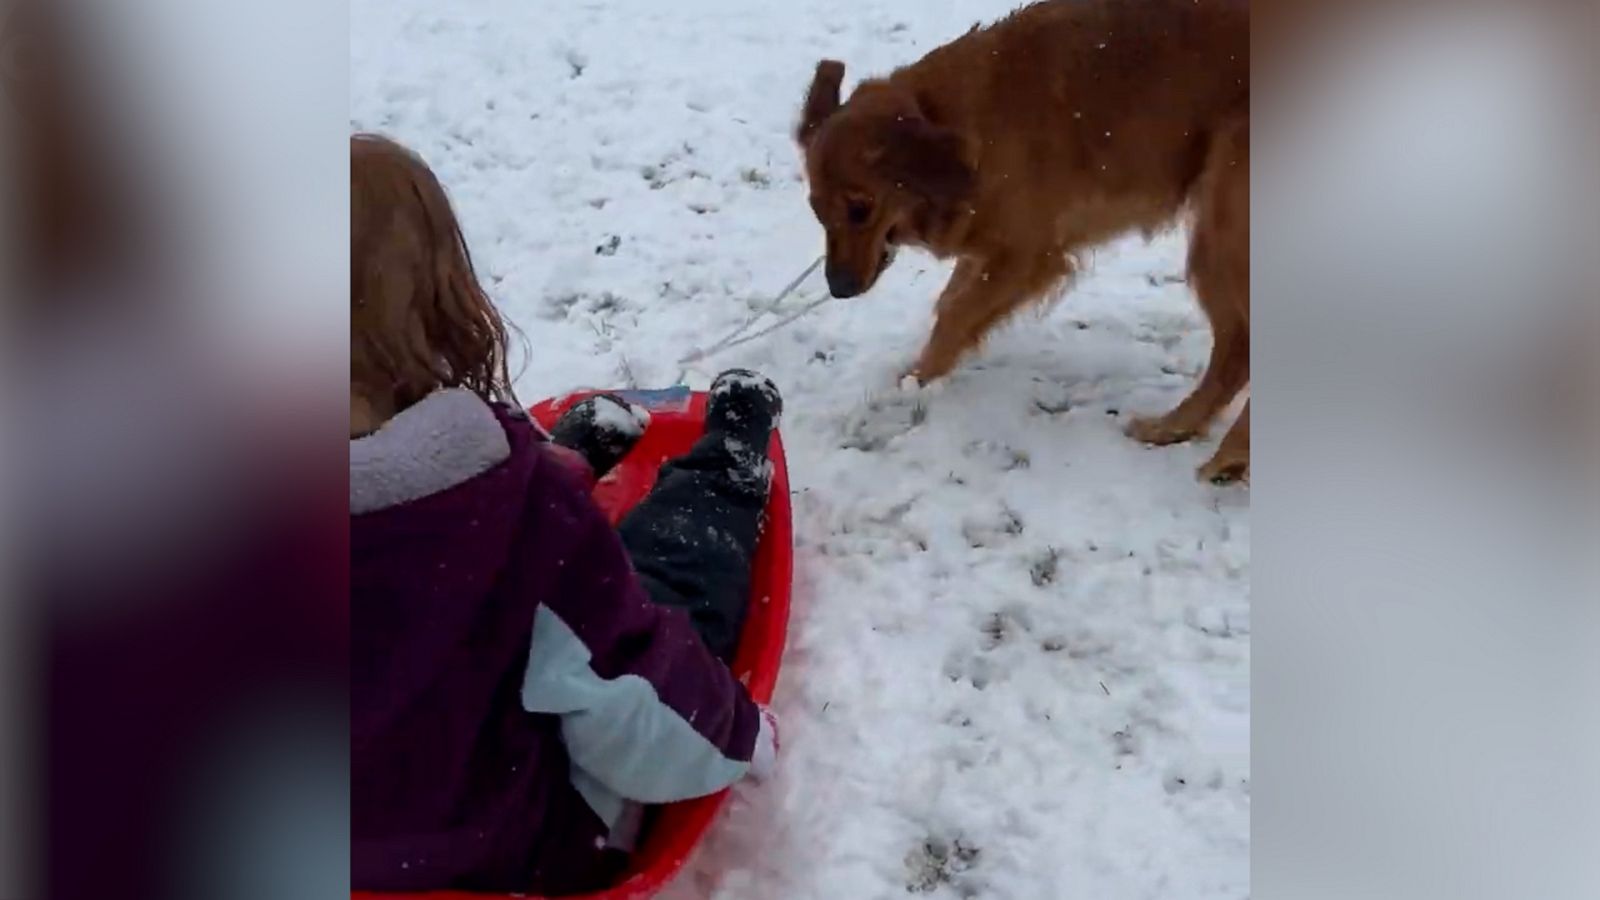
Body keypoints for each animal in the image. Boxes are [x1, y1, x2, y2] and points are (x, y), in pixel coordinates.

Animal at [800, 0, 1248, 483]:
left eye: (860, 208)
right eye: (817, 211)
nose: (838, 289)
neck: (958, 123)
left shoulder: (1027, 256)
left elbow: (955, 315)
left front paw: (913, 384)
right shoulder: (993, 248)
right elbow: (952, 300)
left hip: (1222, 236)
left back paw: (1226, 453)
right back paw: (1178, 429)